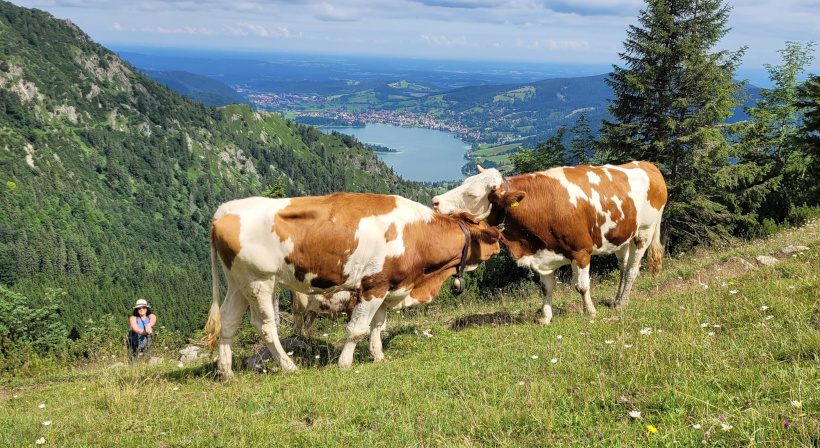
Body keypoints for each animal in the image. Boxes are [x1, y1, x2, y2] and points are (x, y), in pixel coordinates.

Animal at [204, 192, 500, 378]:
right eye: (490, 235)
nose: (499, 245)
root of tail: (224, 210)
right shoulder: (372, 286)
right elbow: (357, 329)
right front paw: (345, 363)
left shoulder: (387, 284)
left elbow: (378, 325)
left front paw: (378, 356)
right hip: (259, 280)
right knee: (265, 326)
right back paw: (288, 367)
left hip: (238, 281)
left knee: (228, 321)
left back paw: (226, 372)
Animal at [430, 163, 668, 324]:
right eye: (463, 182)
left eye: (472, 194)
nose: (435, 201)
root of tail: (646, 164)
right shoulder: (542, 255)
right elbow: (546, 288)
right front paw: (545, 318)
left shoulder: (581, 251)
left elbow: (582, 286)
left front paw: (589, 312)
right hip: (621, 238)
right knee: (624, 268)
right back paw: (617, 300)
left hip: (644, 233)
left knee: (633, 270)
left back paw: (622, 303)